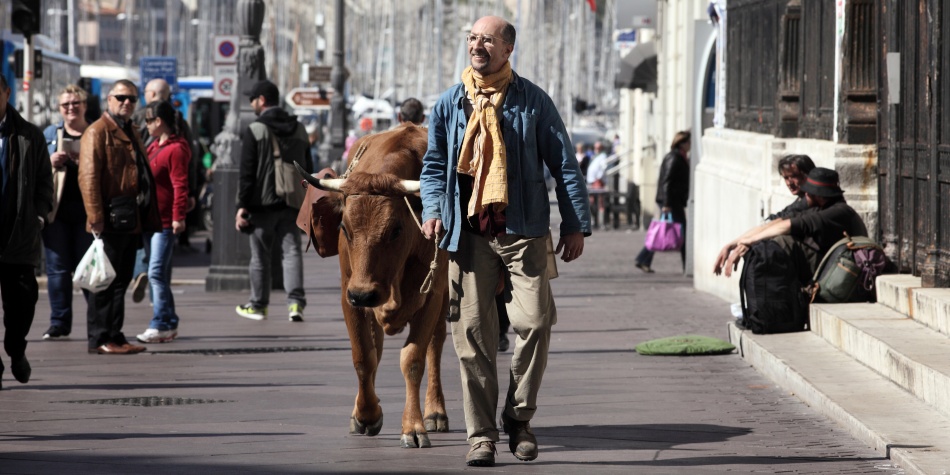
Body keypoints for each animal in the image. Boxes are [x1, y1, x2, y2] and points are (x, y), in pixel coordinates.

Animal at [296, 124, 449, 448]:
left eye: (396, 230)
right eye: (344, 227)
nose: (364, 292)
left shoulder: (432, 294)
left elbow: (413, 358)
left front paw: (413, 426)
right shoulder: (348, 294)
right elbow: (364, 356)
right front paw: (366, 415)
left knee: (436, 344)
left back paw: (435, 411)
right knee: (376, 348)